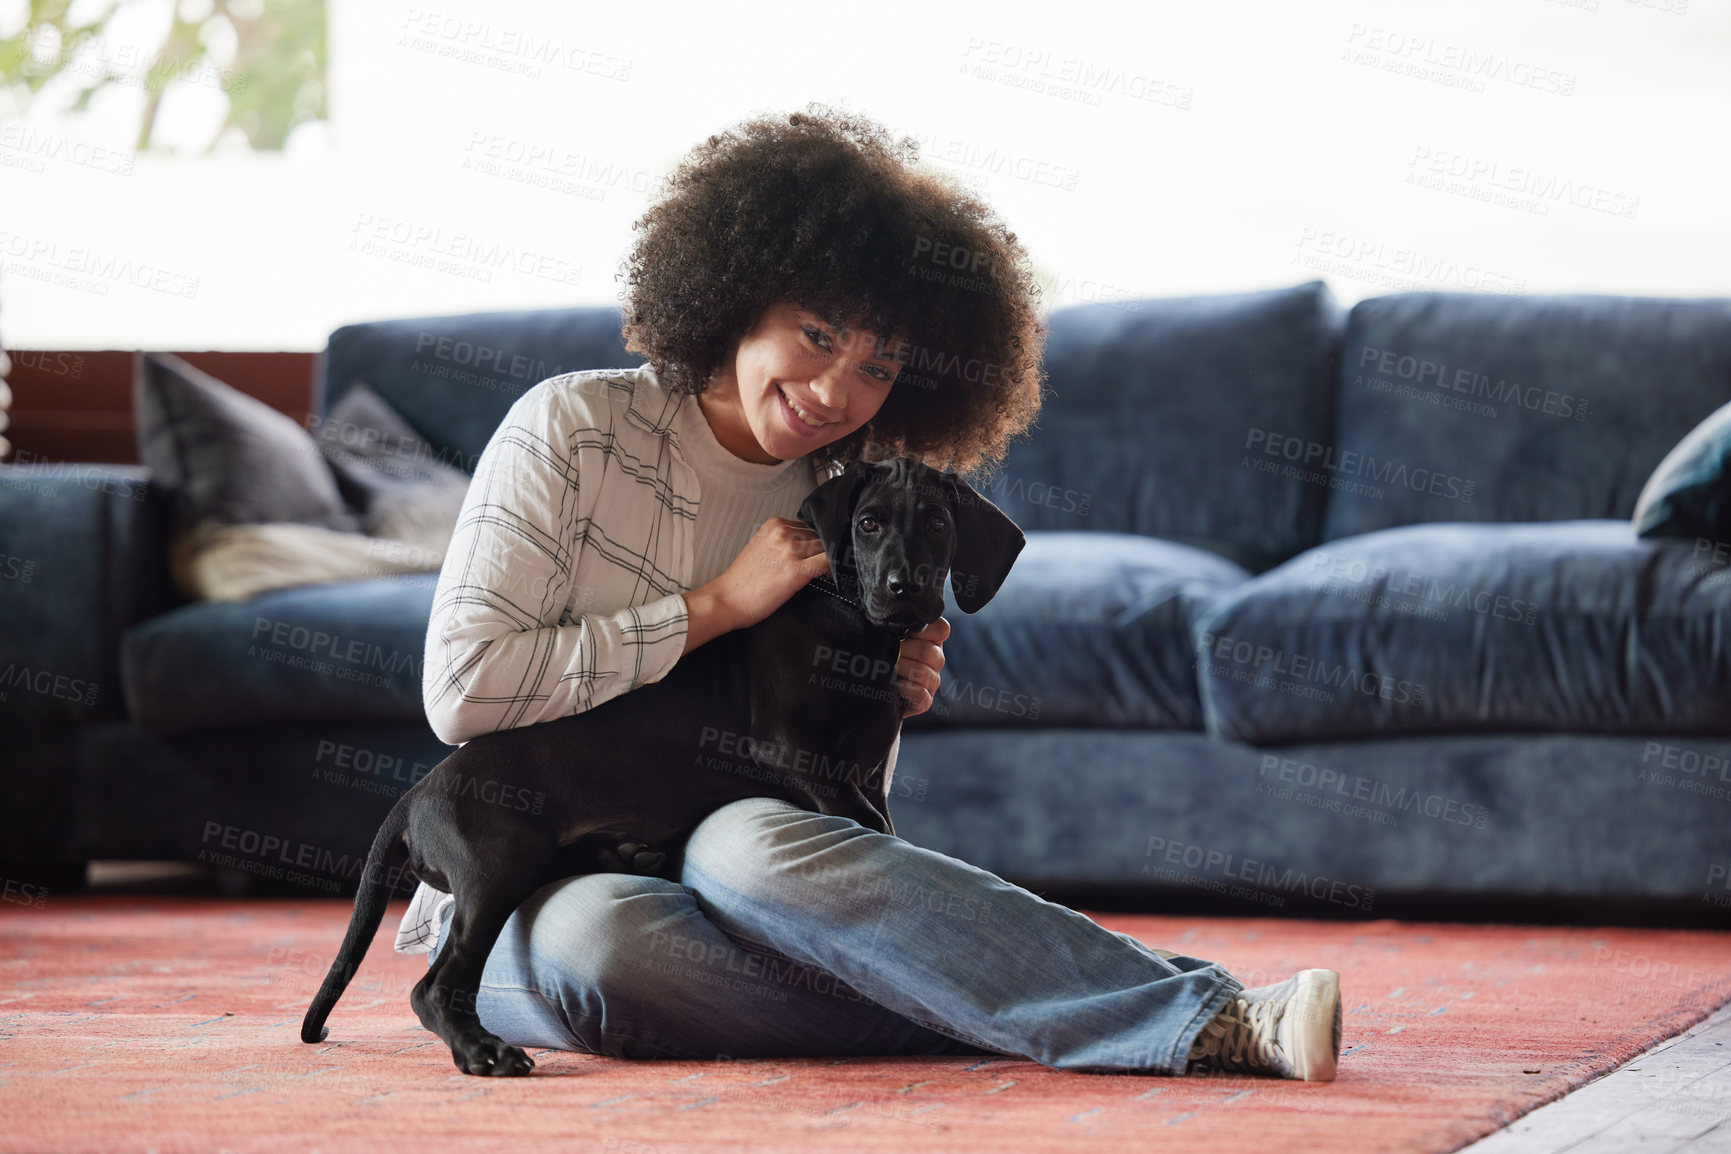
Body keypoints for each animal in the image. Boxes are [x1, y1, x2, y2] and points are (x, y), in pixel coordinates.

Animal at [301, 456, 1024, 1079]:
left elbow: (882, 819)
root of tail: (414, 798)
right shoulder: (790, 748)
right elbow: (869, 825)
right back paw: (483, 1051)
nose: (905, 590)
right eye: (868, 522)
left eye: (938, 522)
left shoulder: (867, 771)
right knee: (433, 987)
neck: (858, 631)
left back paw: (625, 855)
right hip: (496, 861)